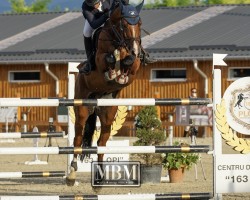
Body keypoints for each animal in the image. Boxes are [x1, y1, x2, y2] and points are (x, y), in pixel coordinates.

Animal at [66, 0, 145, 186]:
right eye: (124, 24)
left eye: (139, 23)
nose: (135, 49)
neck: (118, 40)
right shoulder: (101, 59)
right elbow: (108, 58)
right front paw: (113, 71)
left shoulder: (134, 67)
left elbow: (130, 62)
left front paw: (121, 73)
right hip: (81, 109)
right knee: (77, 139)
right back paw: (71, 174)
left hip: (108, 113)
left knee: (101, 142)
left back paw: (100, 177)